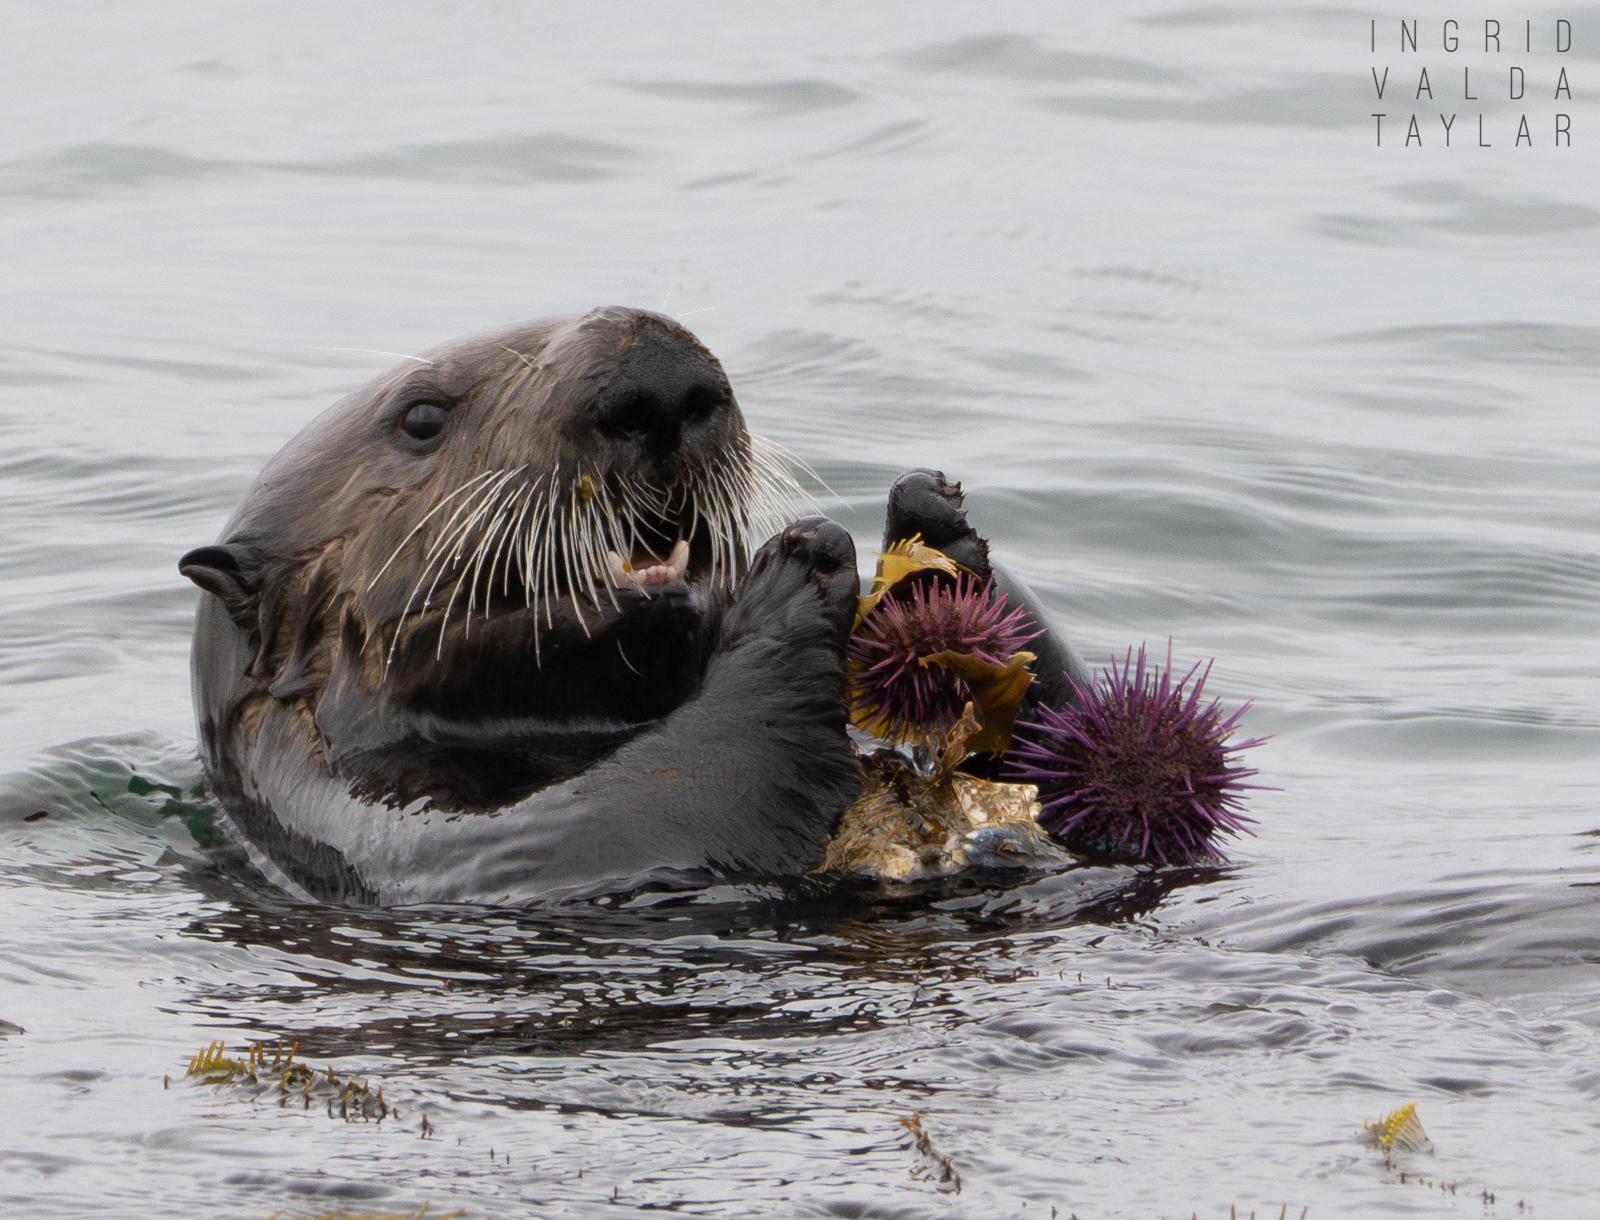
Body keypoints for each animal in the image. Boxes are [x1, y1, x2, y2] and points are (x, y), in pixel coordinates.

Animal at [184, 304, 1088, 902]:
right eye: (421, 418)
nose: (657, 385)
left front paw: (937, 531)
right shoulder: (428, 843)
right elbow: (666, 797)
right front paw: (797, 568)